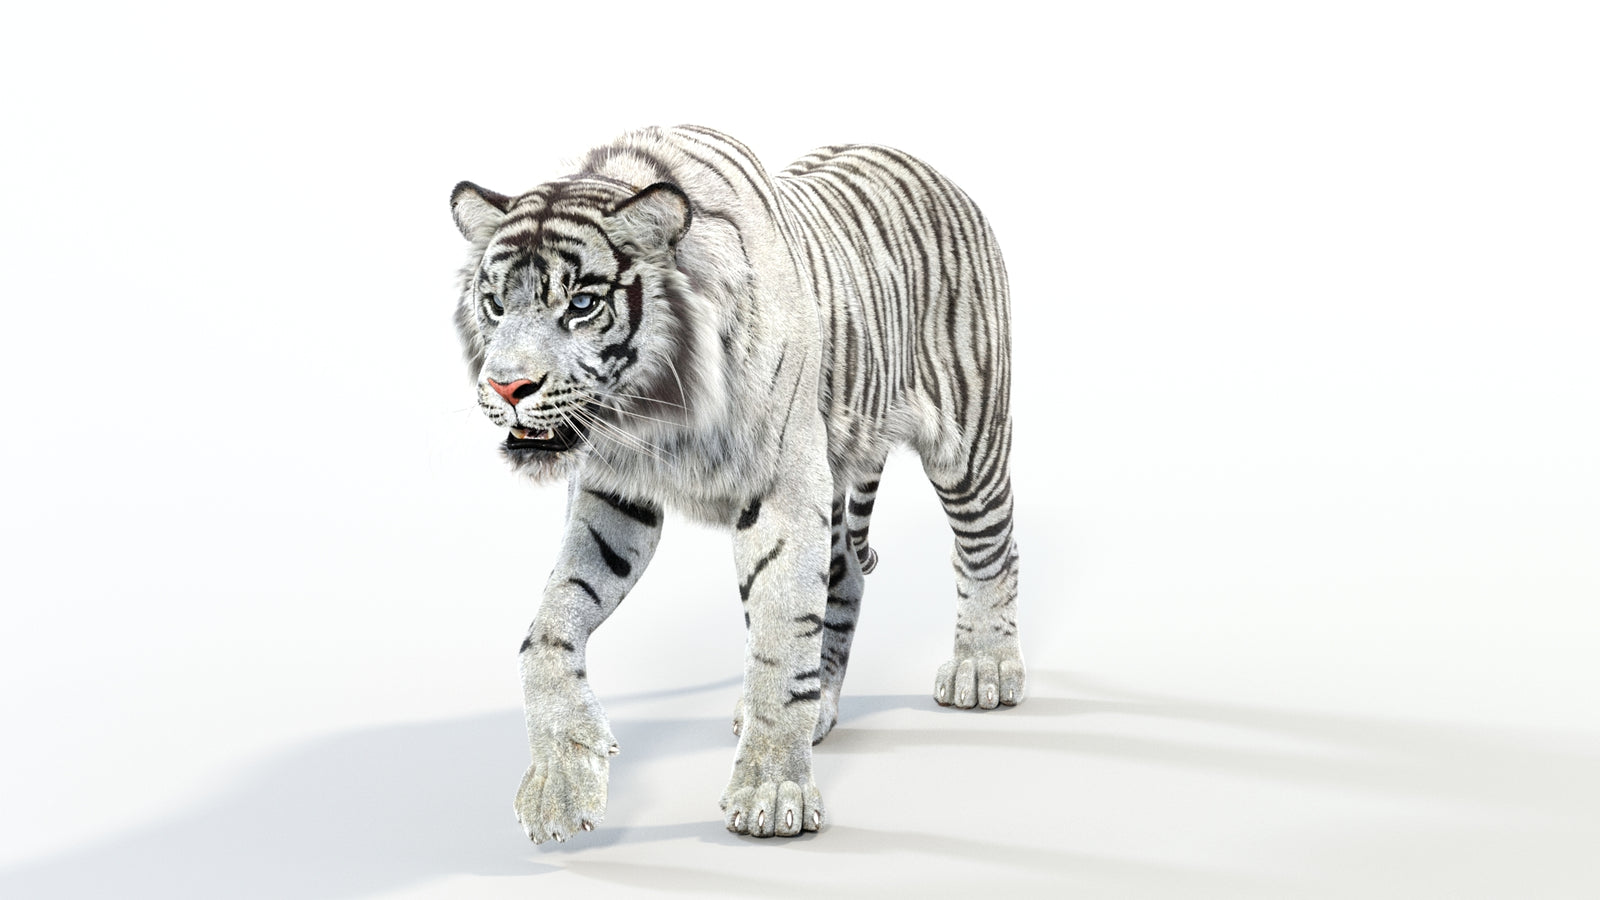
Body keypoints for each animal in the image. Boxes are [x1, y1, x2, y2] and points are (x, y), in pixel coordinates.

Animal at [448, 125, 1022, 842]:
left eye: (580, 305)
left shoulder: (781, 491)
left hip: (969, 439)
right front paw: (560, 784)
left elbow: (779, 640)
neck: (654, 408)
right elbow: (548, 627)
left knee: (990, 549)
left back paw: (984, 669)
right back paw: (821, 706)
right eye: (497, 303)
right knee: (847, 574)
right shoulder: (614, 494)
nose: (507, 387)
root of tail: (922, 164)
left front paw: (773, 792)